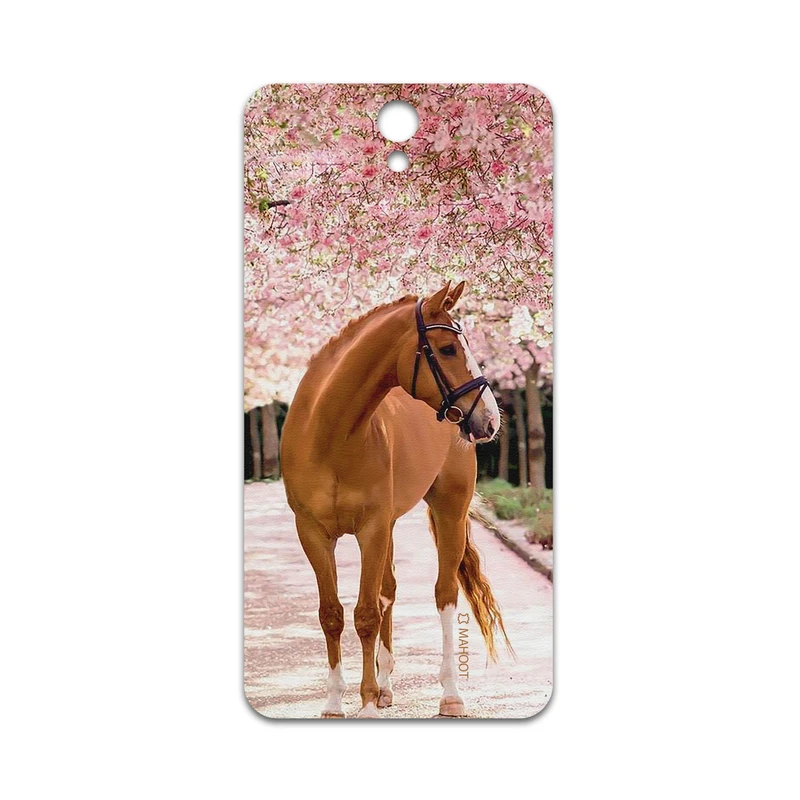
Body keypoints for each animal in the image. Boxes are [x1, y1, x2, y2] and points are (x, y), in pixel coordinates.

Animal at [280, 281, 510, 718]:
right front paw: (335, 702)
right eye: (448, 348)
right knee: (388, 590)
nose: (489, 419)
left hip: (449, 512)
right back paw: (387, 687)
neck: (331, 434)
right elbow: (332, 614)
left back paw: (450, 695)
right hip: (388, 526)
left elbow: (366, 614)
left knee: (444, 595)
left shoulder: (371, 529)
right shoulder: (313, 533)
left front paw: (367, 703)